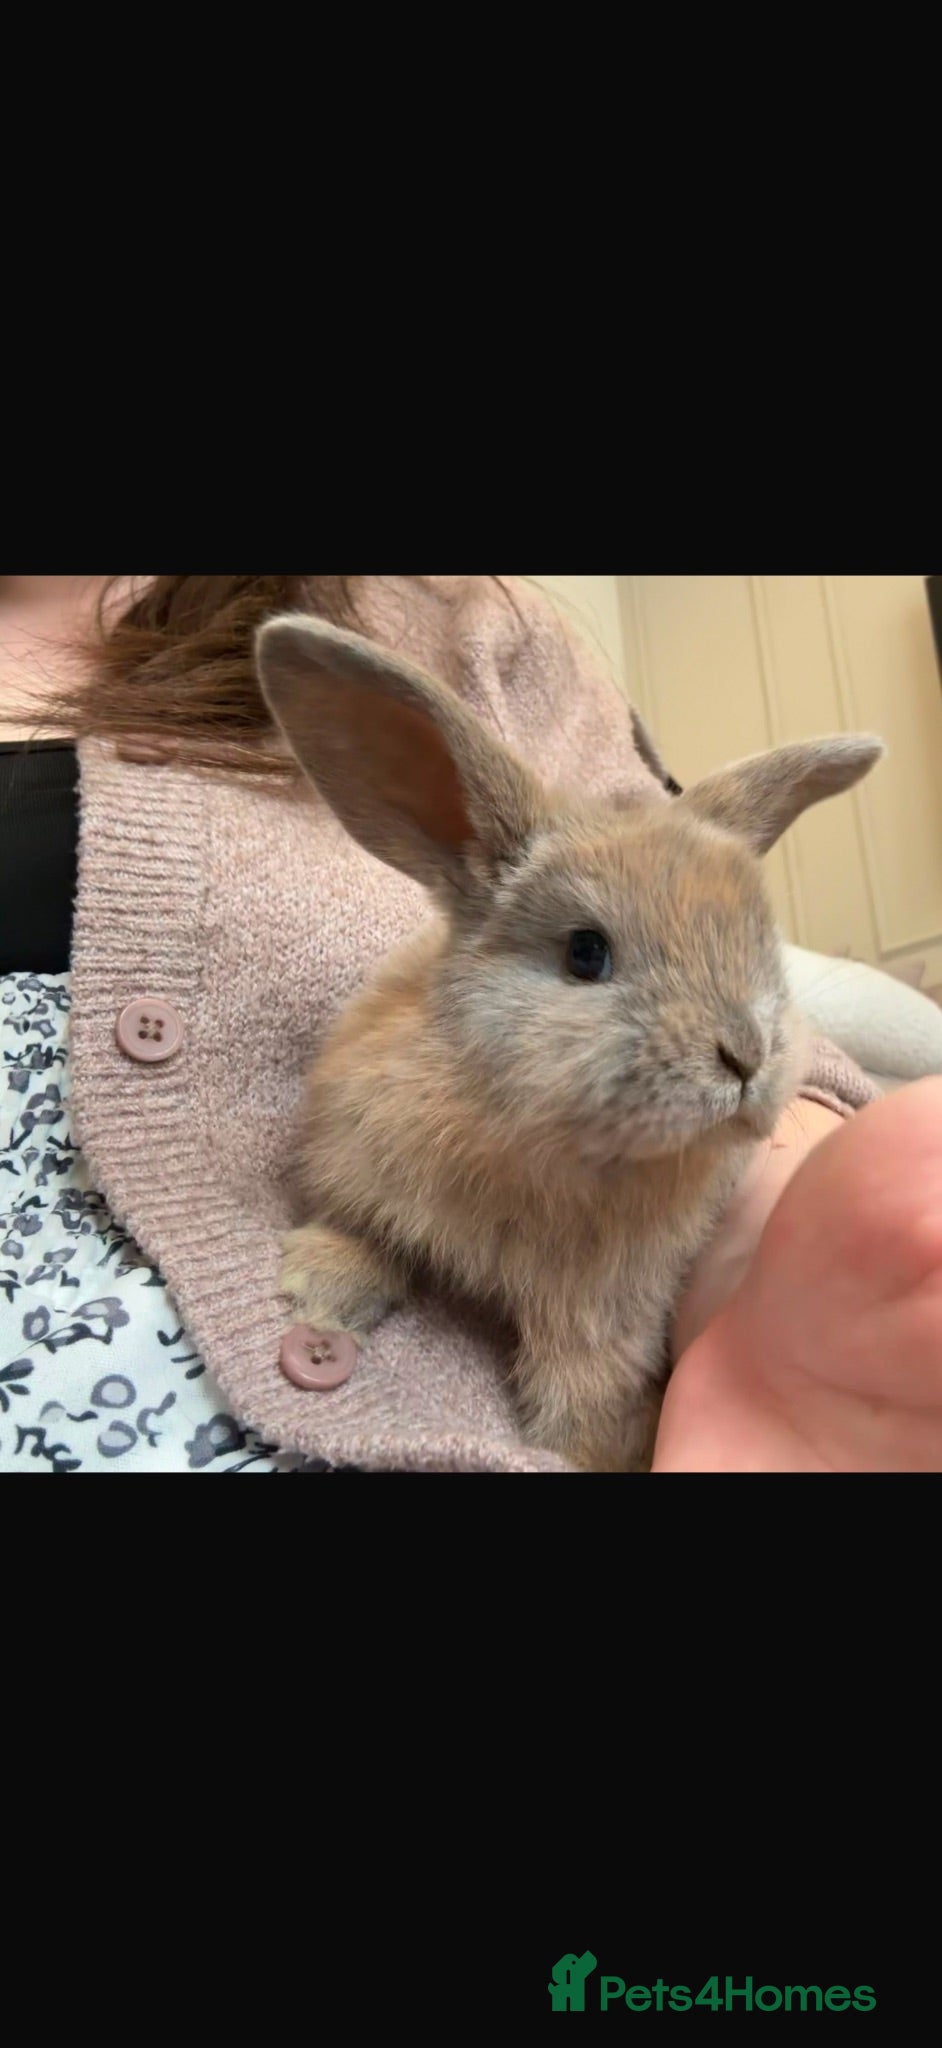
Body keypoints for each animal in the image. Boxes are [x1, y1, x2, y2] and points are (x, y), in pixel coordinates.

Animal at [255, 613, 884, 1473]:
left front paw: (586, 1450)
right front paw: (320, 1291)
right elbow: (359, 1227)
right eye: (587, 953)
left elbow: (584, 1382)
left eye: (759, 942)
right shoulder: (355, 1157)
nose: (747, 1056)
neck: (540, 1143)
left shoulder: (601, 1311)